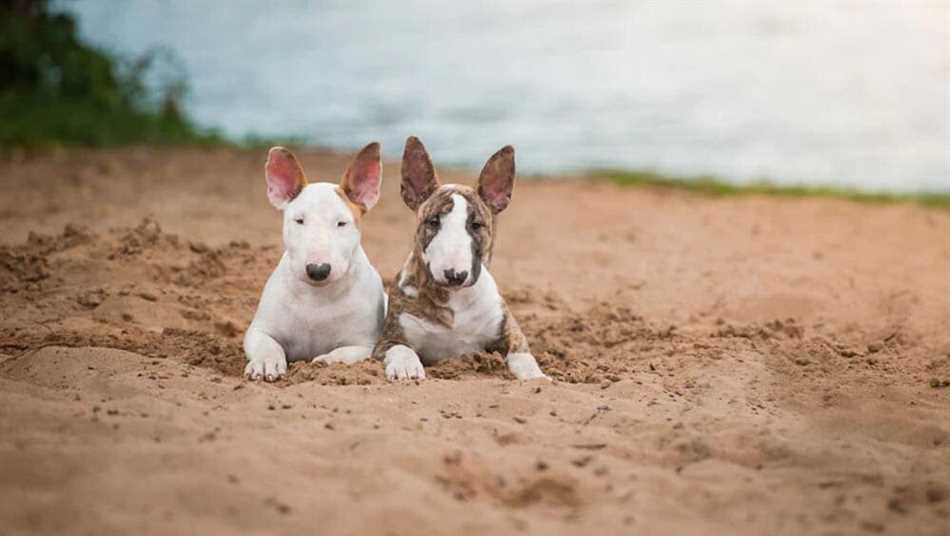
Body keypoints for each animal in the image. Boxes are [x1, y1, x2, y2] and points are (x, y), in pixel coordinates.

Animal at [245, 142, 386, 382]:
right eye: (299, 220)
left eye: (342, 223)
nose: (318, 270)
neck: (317, 297)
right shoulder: (257, 331)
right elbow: (268, 344)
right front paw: (265, 363)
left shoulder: (366, 345)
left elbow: (342, 353)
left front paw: (325, 361)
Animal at [374, 138, 552, 382]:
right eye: (433, 221)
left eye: (476, 225)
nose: (454, 275)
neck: (454, 299)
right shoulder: (387, 340)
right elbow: (401, 348)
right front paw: (406, 369)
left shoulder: (509, 330)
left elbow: (522, 353)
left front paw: (535, 376)